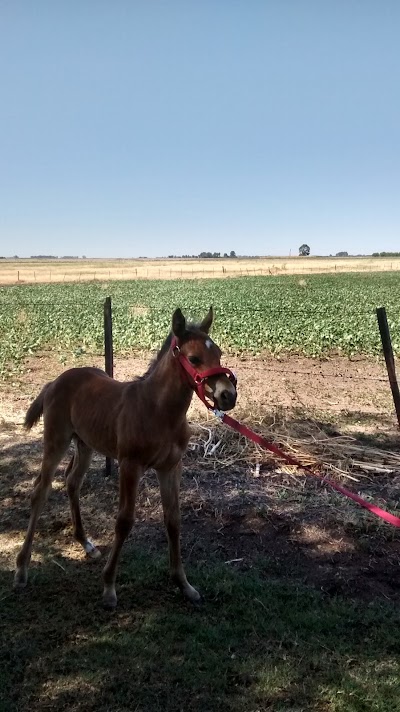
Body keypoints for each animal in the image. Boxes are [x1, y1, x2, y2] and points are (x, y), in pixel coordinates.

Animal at [14, 306, 236, 608]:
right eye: (194, 358)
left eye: (220, 354)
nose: (228, 395)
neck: (158, 411)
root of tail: (55, 381)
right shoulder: (130, 465)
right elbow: (124, 521)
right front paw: (109, 588)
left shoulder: (170, 467)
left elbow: (173, 520)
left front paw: (184, 585)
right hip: (56, 441)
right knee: (40, 491)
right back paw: (22, 568)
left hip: (85, 444)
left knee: (72, 482)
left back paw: (86, 544)